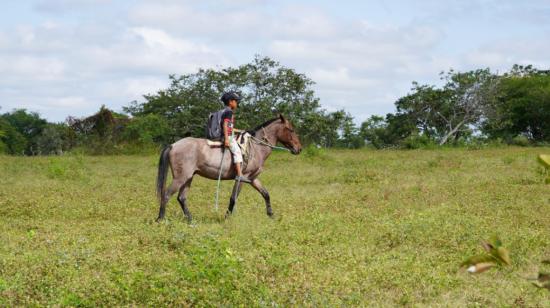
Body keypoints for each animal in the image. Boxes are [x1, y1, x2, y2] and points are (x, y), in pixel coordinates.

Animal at [155, 113, 302, 221]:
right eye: (291, 130)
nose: (299, 149)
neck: (256, 147)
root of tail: (173, 145)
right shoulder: (241, 178)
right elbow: (233, 198)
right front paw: (227, 218)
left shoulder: (253, 179)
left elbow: (266, 194)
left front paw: (271, 215)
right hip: (180, 178)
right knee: (166, 195)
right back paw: (160, 219)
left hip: (188, 178)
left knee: (181, 198)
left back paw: (191, 220)